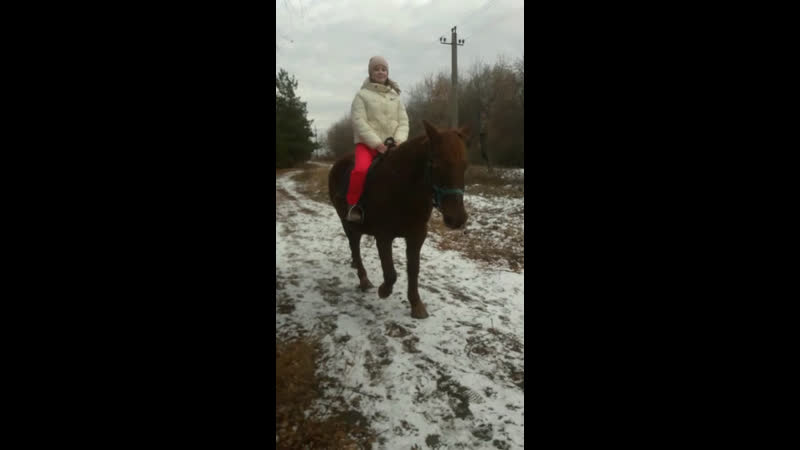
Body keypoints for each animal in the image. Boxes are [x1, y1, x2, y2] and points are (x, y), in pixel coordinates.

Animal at [330, 119, 472, 320]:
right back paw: (363, 279)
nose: (457, 218)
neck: (402, 189)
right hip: (347, 222)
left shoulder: (417, 236)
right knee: (354, 245)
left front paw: (416, 305)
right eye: (435, 164)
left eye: (465, 165)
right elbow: (391, 273)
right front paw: (383, 291)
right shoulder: (383, 236)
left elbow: (413, 270)